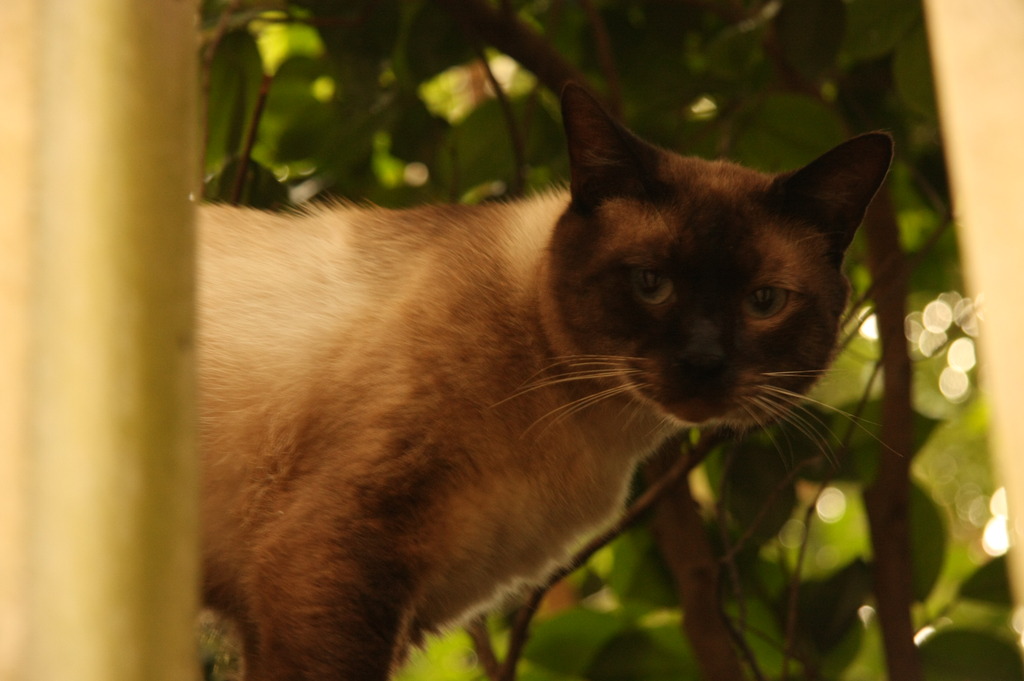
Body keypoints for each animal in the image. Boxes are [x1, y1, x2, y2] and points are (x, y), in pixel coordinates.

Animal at [195, 84, 892, 679]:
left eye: (763, 302)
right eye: (652, 283)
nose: (702, 362)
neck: (587, 428)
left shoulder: (407, 609)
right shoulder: (334, 563)